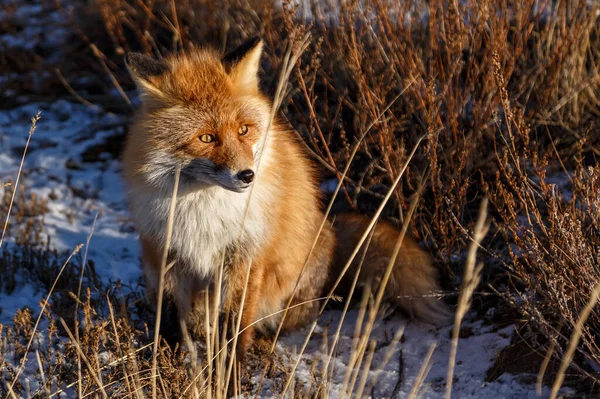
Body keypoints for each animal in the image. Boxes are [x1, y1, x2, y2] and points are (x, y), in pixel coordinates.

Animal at [122, 38, 450, 354]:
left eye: (243, 130)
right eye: (206, 138)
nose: (247, 175)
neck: (203, 209)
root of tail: (330, 228)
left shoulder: (245, 256)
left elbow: (235, 327)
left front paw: (229, 368)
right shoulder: (165, 254)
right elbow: (168, 320)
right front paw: (165, 361)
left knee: (295, 318)